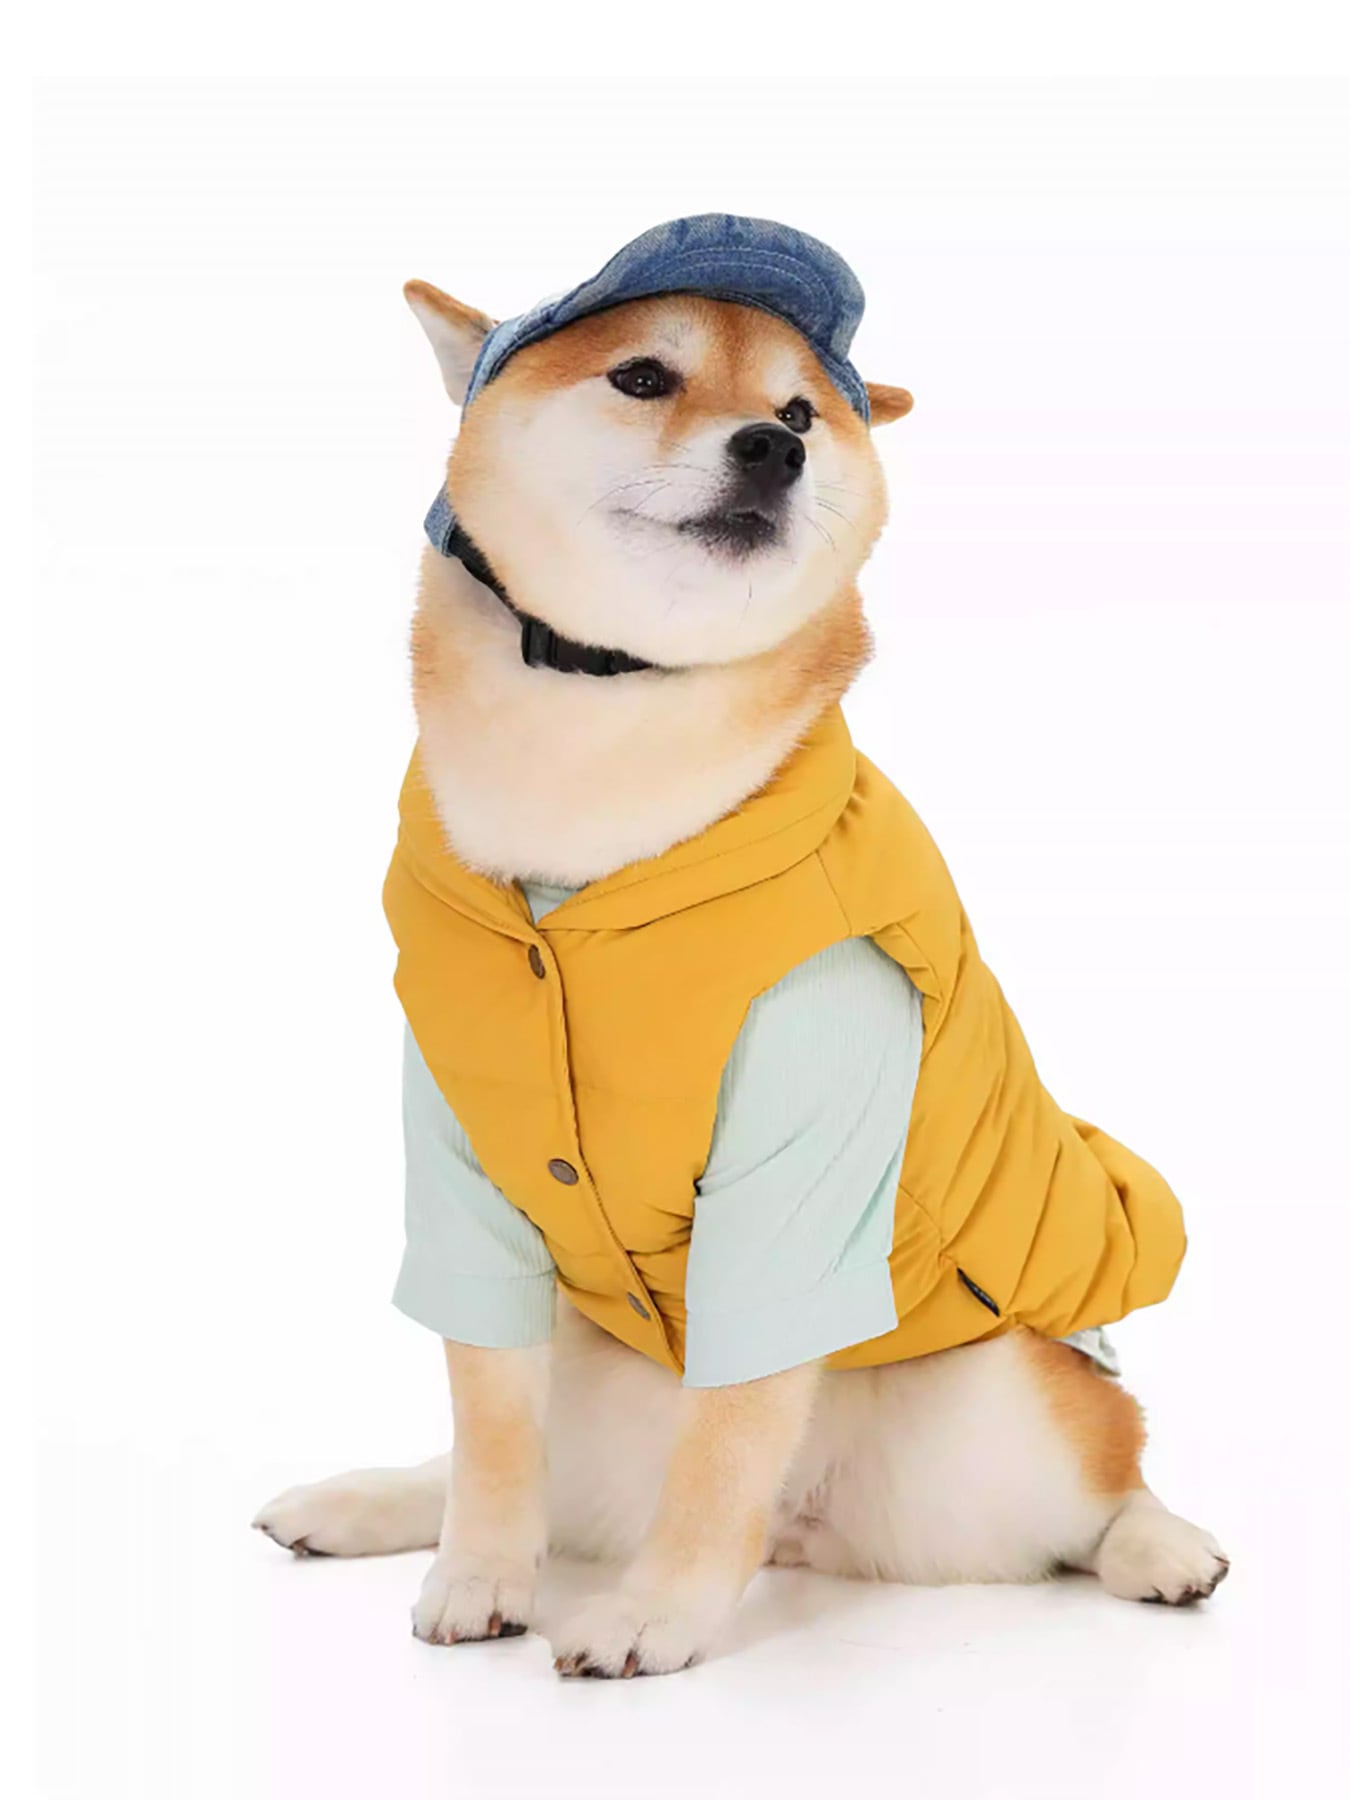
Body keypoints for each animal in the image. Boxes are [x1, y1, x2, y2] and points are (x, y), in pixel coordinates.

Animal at [254, 216, 1228, 1678]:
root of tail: (805, 1533)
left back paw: (1165, 1547)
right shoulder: (467, 1153)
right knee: (526, 1466)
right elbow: (490, 1426)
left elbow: (724, 1441)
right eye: (644, 378)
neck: (598, 776)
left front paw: (657, 1612)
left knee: (1106, 1470)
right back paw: (362, 1502)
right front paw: (478, 1572)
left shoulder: (801, 1170)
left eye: (801, 412)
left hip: (983, 1430)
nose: (774, 449)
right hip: (599, 1381)